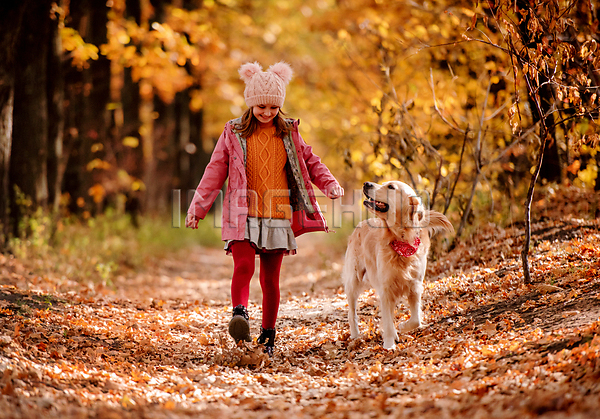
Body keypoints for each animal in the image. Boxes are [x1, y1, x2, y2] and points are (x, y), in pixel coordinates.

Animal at [340, 182, 452, 350]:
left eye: (391, 187)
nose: (366, 183)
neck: (401, 240)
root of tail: (360, 224)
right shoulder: (386, 289)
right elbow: (387, 320)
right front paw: (389, 345)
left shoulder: (415, 286)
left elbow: (416, 319)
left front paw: (402, 327)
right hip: (354, 280)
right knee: (351, 312)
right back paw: (355, 335)